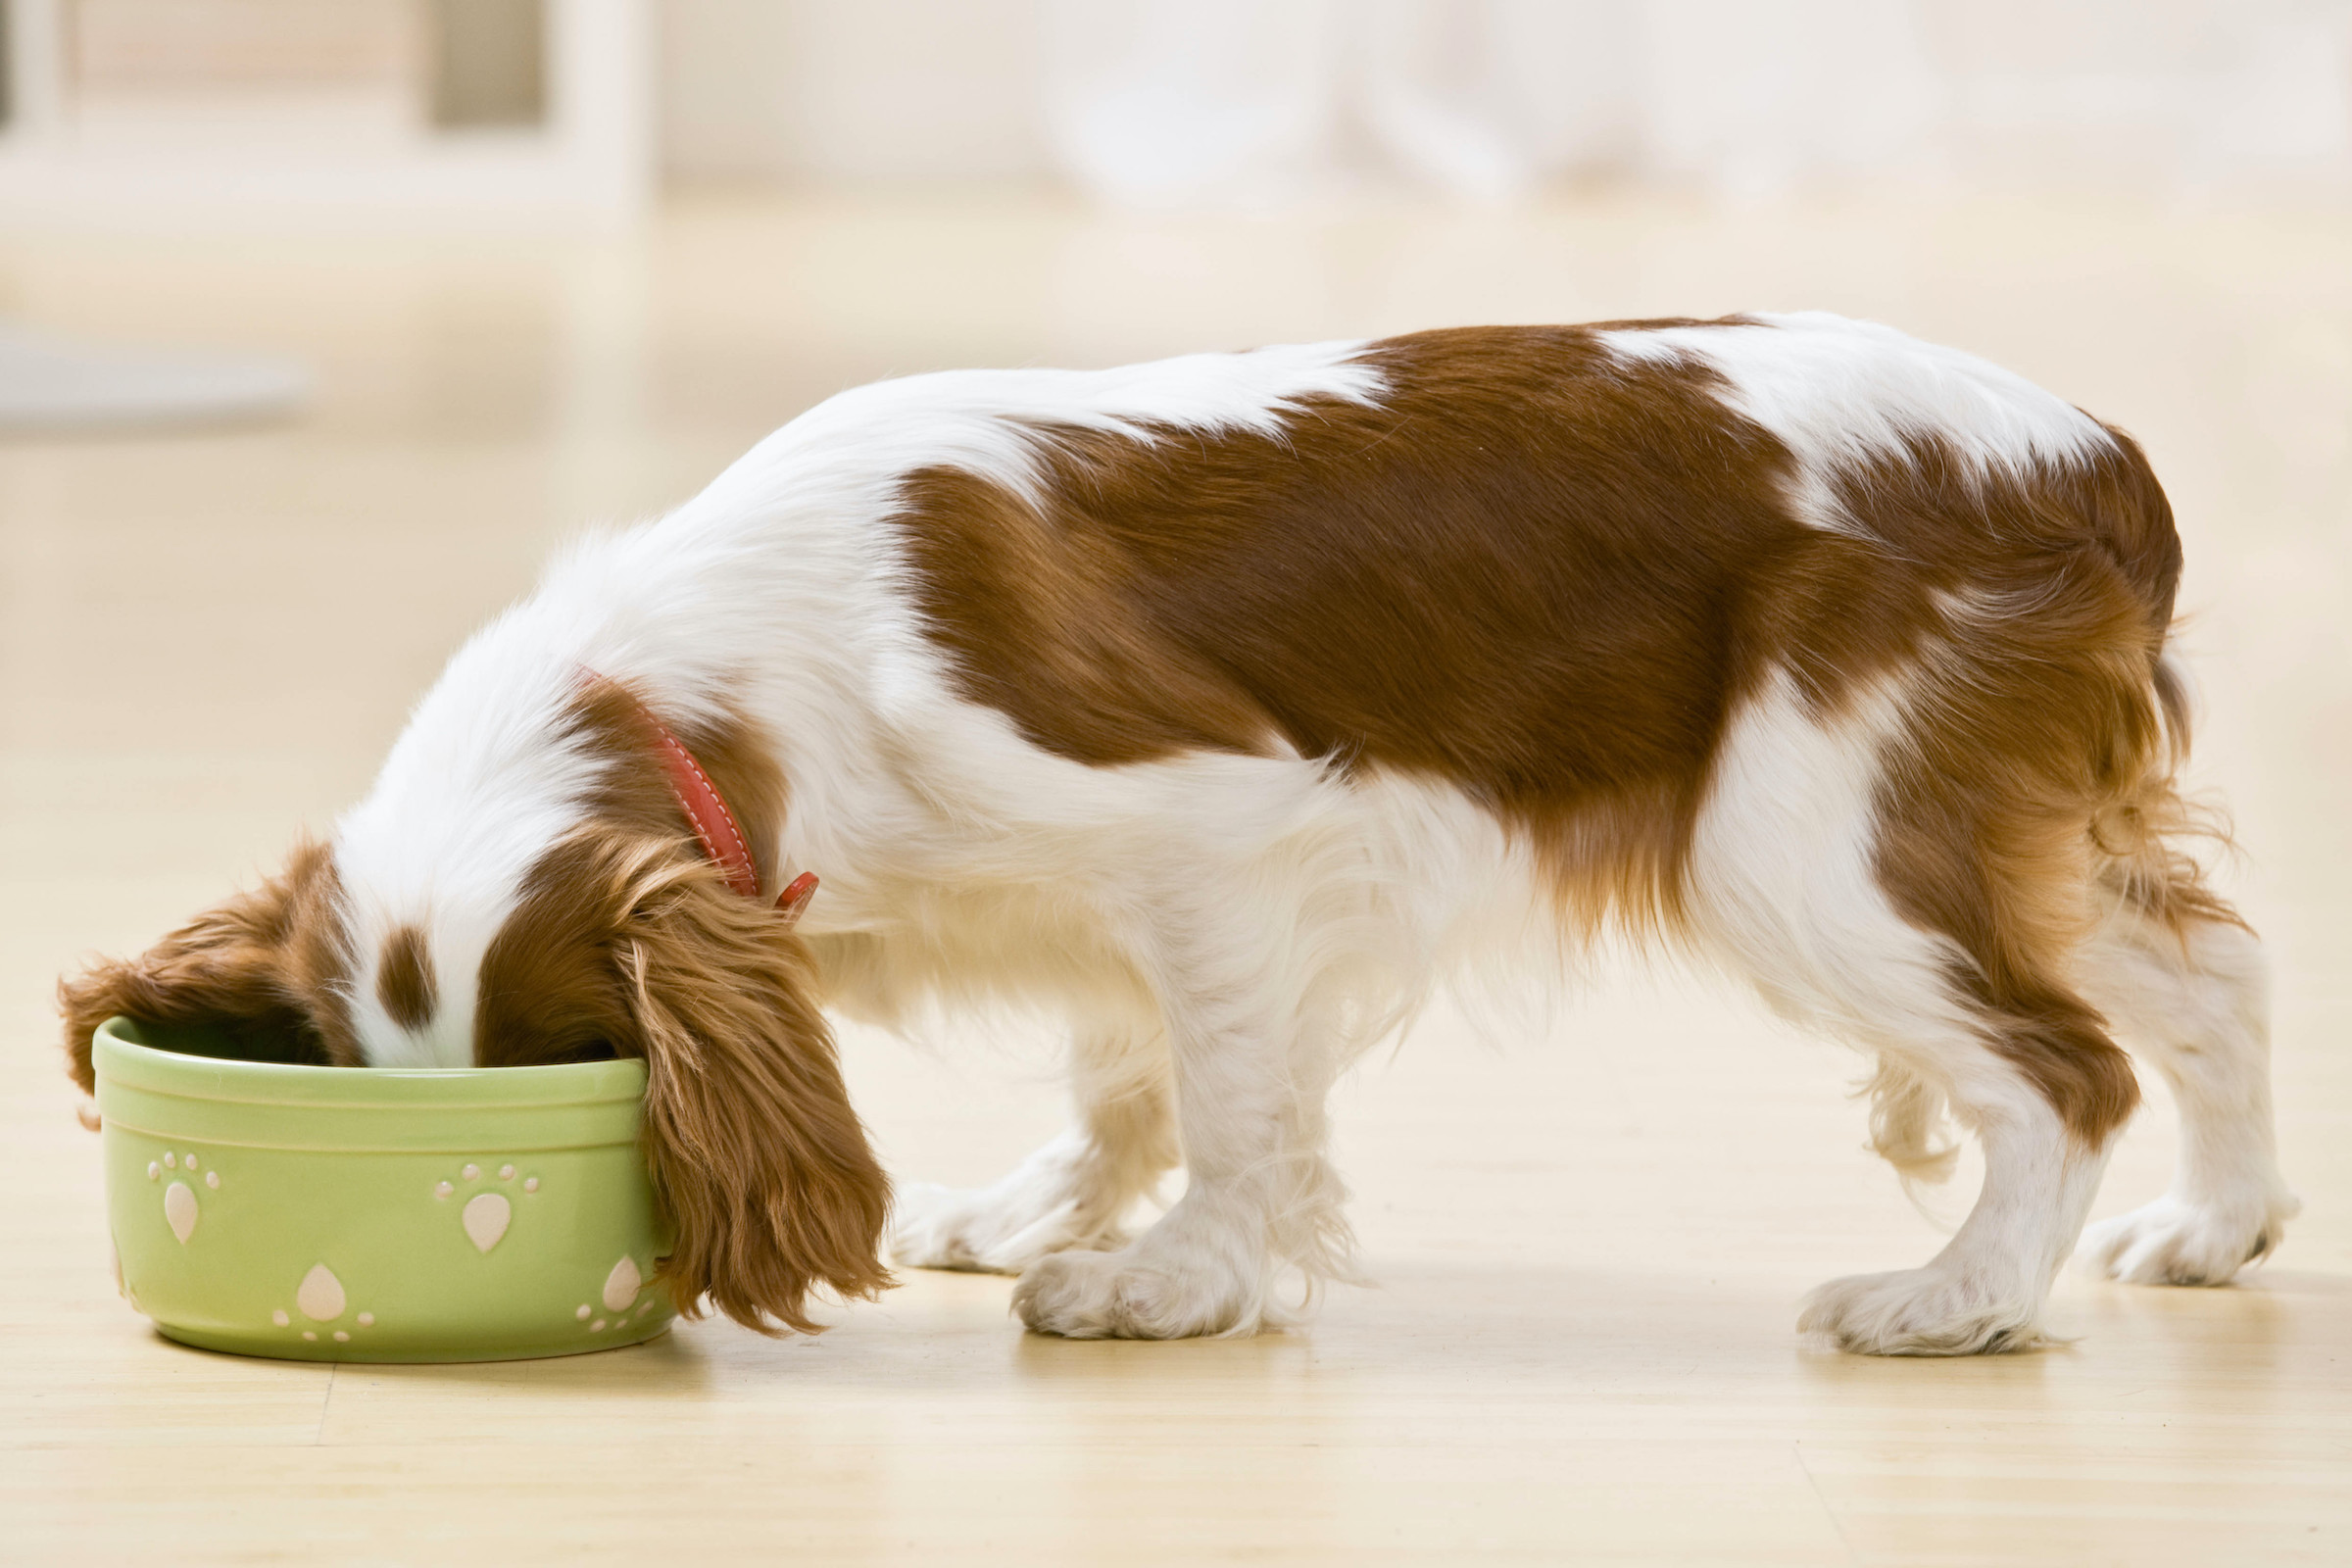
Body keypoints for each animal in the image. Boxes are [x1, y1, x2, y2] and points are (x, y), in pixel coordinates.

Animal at [59, 315, 2295, 1353]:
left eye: (576, 1069)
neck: (715, 679)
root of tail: (2092, 459)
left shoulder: (1211, 836)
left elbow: (1225, 1091)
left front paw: (1173, 1279)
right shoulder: (1108, 904)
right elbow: (1124, 1064)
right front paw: (1054, 1205)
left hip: (1806, 842)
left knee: (2059, 1067)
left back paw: (1958, 1299)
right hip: (1993, 820)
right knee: (2207, 974)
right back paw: (2220, 1224)